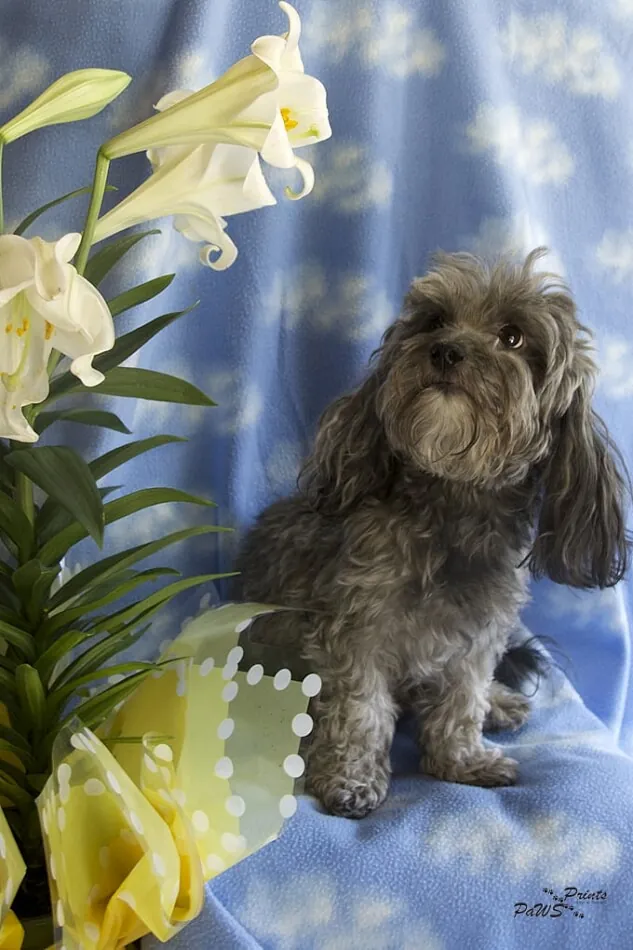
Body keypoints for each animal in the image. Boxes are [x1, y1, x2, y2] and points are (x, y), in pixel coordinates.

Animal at [234, 249, 628, 819]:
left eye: (512, 337)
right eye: (435, 320)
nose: (445, 350)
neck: (452, 512)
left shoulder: (478, 636)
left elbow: (463, 699)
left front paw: (462, 760)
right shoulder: (357, 632)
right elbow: (361, 709)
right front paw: (350, 778)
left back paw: (498, 702)